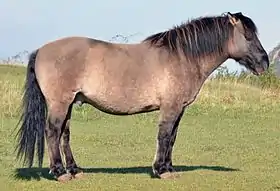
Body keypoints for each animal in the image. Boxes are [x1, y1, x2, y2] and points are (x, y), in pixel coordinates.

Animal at [14, 11, 270, 182]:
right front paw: (161, 170)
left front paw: (169, 168)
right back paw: (59, 173)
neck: (181, 57)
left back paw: (74, 170)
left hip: (68, 104)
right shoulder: (170, 107)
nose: (265, 63)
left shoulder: (179, 109)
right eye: (248, 36)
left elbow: (172, 138)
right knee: (52, 132)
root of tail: (41, 50)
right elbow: (164, 136)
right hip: (59, 103)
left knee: (64, 134)